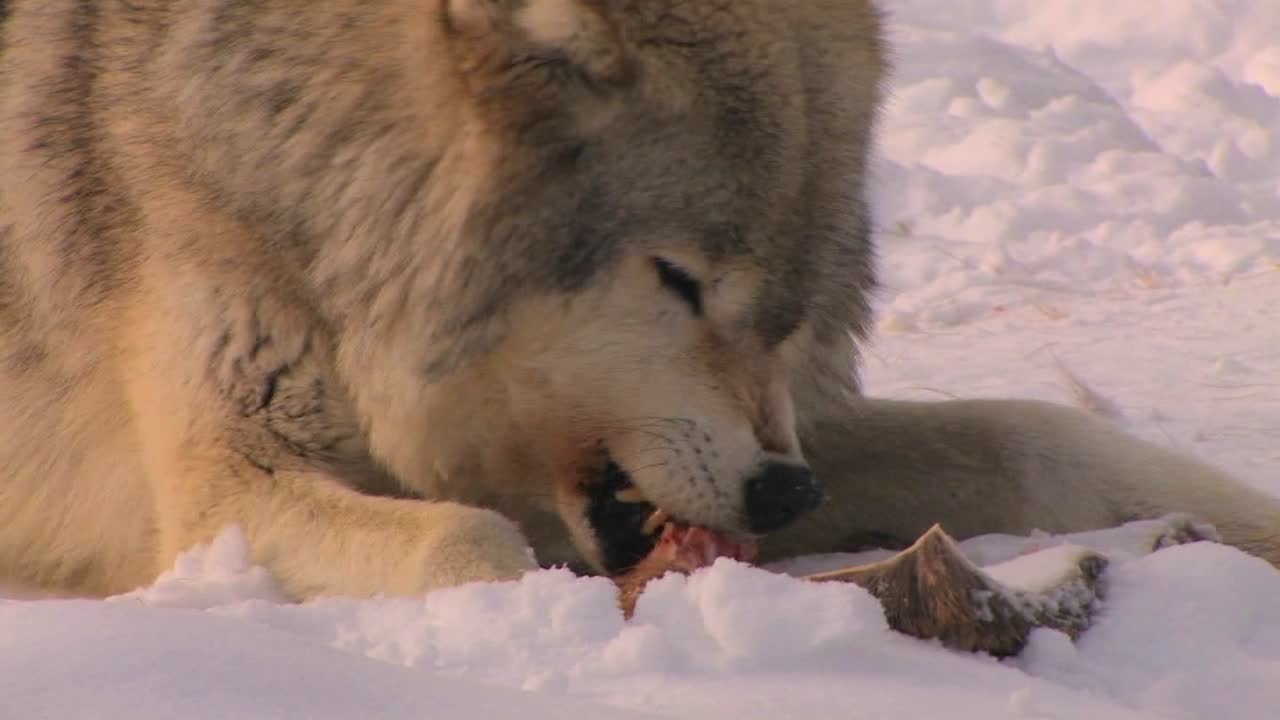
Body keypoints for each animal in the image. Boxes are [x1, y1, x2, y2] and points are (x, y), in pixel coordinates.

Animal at [0, 0, 1275, 602]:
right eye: (677, 281)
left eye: (789, 310)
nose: (788, 490)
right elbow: (475, 538)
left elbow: (1035, 436)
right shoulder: (215, 492)